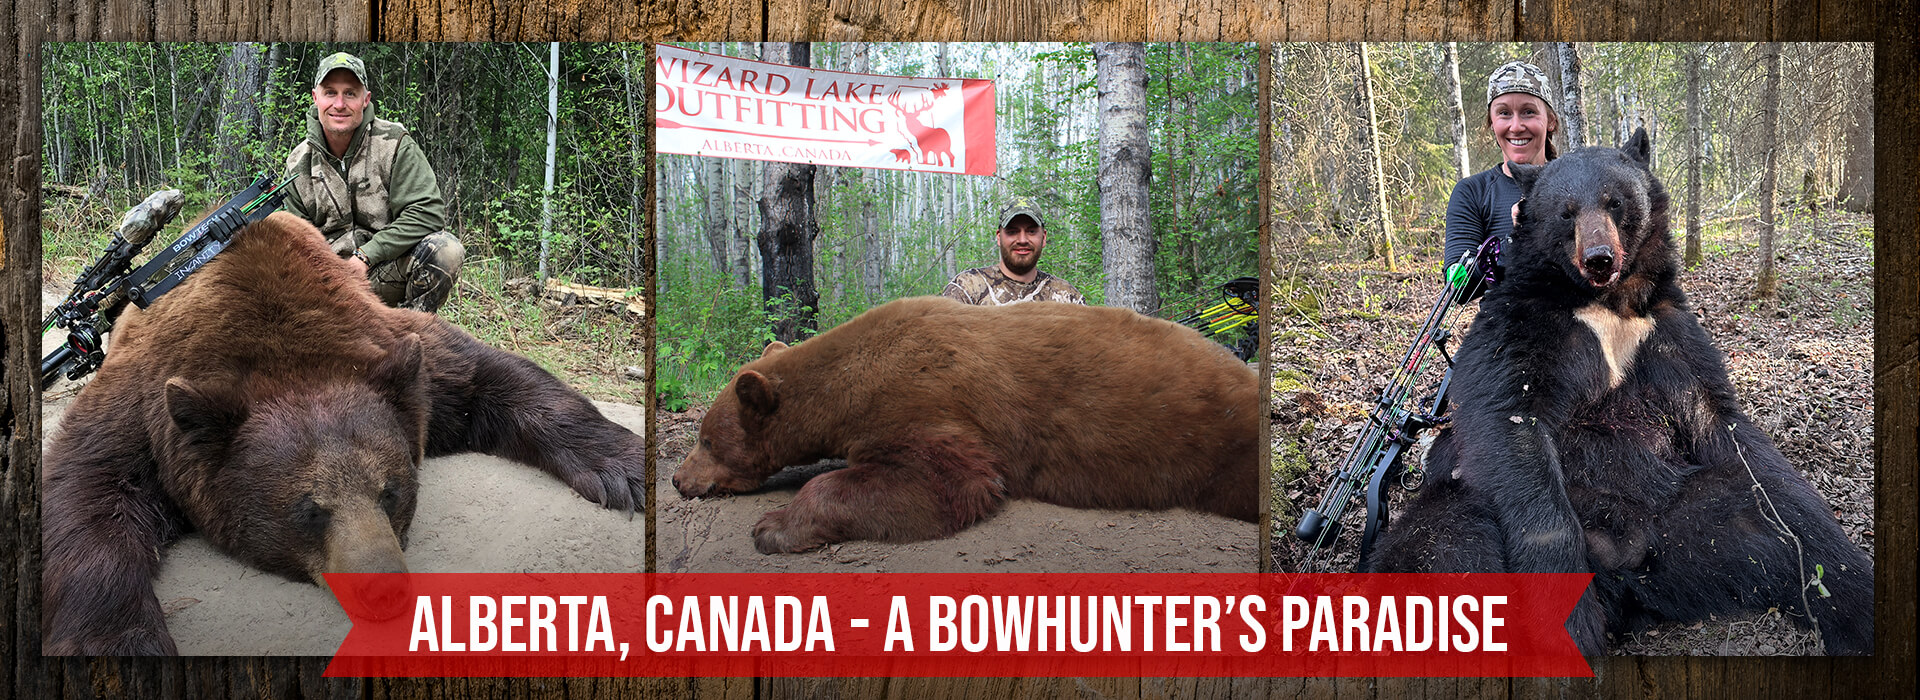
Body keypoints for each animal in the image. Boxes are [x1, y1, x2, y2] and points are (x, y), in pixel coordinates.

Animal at [41, 212, 647, 655]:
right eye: (310, 508)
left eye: (390, 491)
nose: (383, 586)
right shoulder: (145, 405)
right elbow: (86, 486)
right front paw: (118, 643)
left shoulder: (402, 362)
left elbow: (490, 374)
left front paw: (627, 468)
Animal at [671, 296, 1260, 554]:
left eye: (705, 439)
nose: (678, 480)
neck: (848, 378)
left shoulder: (926, 395)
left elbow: (948, 480)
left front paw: (772, 526)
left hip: (1221, 444)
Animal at [1365, 128, 1874, 656]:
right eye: (1566, 211)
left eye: (1615, 201)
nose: (1599, 258)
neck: (1604, 302)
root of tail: (1626, 558)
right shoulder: (1522, 328)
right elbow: (1511, 424)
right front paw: (1569, 620)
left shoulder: (1663, 330)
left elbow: (1718, 417)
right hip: (1458, 511)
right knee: (1439, 557)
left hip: (1692, 516)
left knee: (1773, 530)